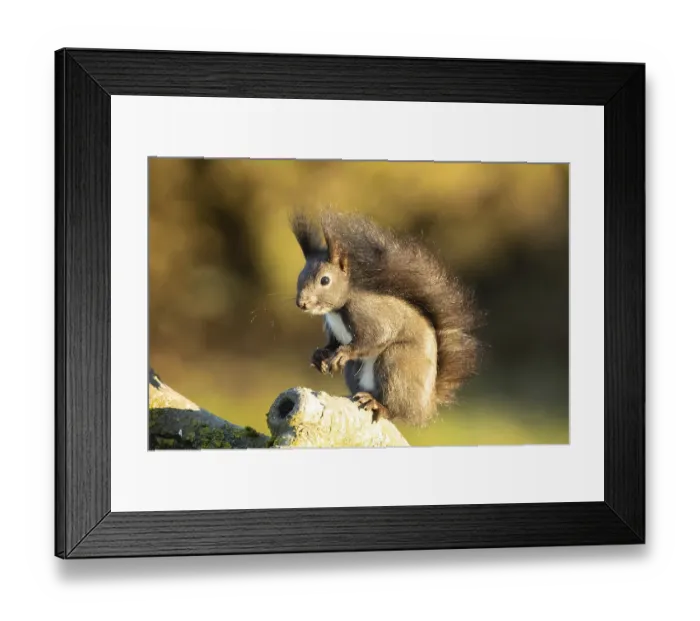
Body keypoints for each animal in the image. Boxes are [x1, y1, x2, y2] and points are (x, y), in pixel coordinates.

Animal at [291, 211, 480, 426]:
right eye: (301, 275)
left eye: (325, 280)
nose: (302, 303)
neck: (336, 310)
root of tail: (427, 406)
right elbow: (333, 343)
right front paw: (319, 355)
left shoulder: (370, 314)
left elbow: (376, 336)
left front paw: (343, 353)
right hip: (356, 371)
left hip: (396, 362)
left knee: (396, 410)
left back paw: (378, 405)